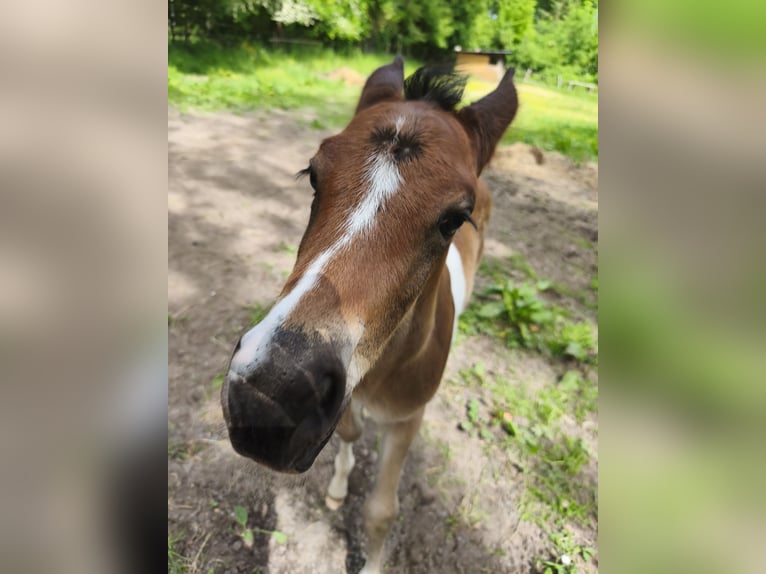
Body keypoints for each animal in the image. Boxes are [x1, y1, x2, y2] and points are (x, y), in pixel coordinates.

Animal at [221, 57, 518, 573]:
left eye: (455, 218)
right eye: (313, 174)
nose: (269, 399)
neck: (381, 366)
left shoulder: (407, 417)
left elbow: (381, 510)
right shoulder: (347, 395)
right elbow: (350, 429)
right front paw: (339, 486)